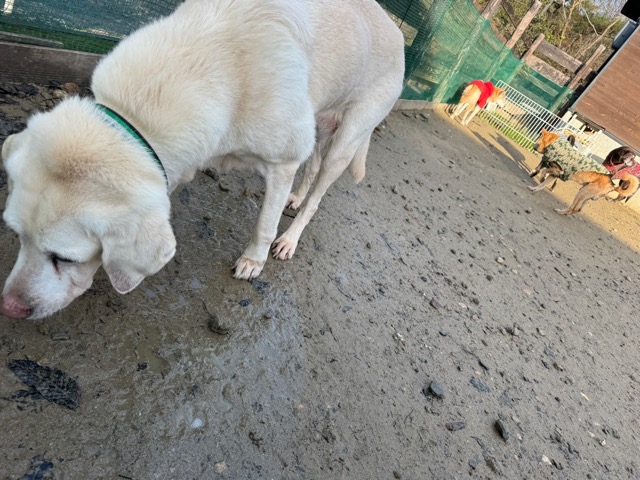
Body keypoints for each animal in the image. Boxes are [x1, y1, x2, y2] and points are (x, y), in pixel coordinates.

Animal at [0, 0, 405, 319]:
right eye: (17, 235)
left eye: (63, 258)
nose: (9, 308)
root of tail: (397, 31)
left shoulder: (284, 159)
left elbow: (264, 223)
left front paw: (253, 261)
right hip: (321, 125)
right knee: (313, 167)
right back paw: (296, 197)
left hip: (348, 139)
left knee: (319, 192)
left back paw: (290, 238)